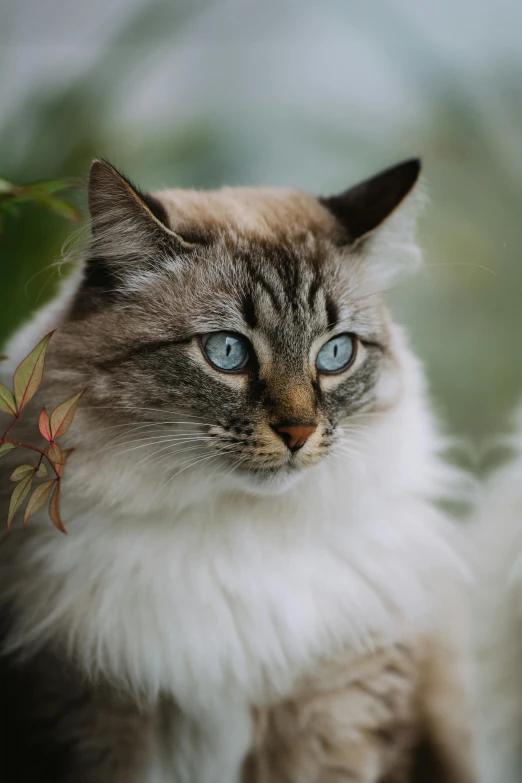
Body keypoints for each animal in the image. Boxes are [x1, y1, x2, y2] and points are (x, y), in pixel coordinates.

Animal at [0, 156, 474, 780]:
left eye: (336, 354)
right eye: (227, 352)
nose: (298, 434)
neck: (238, 533)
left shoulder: (342, 710)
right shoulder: (93, 714)